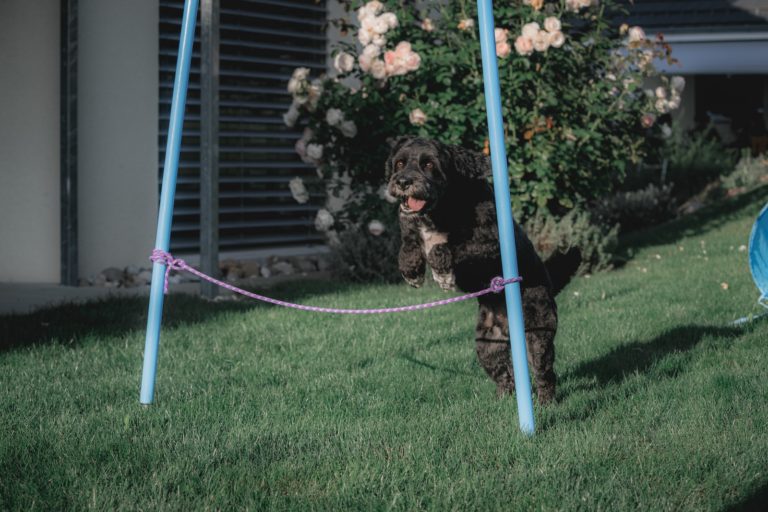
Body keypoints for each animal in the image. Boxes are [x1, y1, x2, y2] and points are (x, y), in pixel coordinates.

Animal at [388, 136, 556, 404]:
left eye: (429, 164)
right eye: (400, 163)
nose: (403, 181)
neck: (440, 208)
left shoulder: (490, 240)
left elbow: (447, 246)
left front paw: (442, 272)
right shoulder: (410, 226)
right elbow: (408, 245)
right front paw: (411, 270)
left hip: (537, 332)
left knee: (544, 370)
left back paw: (546, 402)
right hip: (486, 344)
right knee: (504, 373)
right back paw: (502, 398)